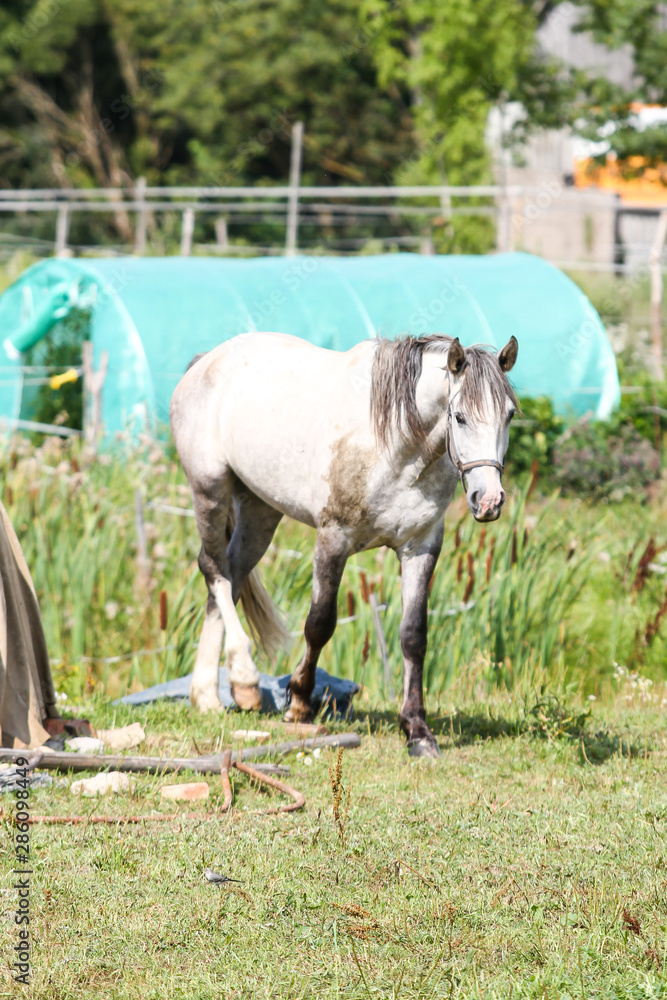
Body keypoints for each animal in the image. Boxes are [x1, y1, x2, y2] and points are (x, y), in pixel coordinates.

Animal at [170, 331, 518, 757]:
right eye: (460, 417)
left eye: (509, 415)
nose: (489, 501)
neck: (394, 448)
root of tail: (206, 361)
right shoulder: (332, 539)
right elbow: (319, 624)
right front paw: (299, 703)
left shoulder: (420, 547)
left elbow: (414, 635)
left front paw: (417, 731)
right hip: (209, 490)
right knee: (214, 570)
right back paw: (244, 680)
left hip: (259, 510)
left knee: (232, 576)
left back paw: (210, 694)